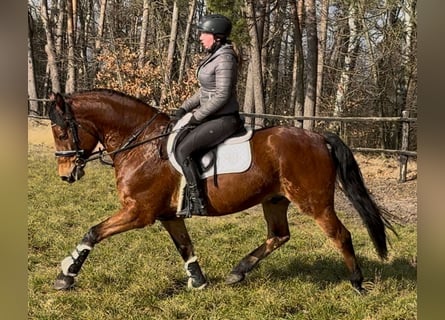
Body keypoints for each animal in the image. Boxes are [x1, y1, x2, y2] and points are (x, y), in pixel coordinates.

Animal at [47, 89, 396, 294]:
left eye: (62, 132)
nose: (65, 175)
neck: (141, 144)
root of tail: (318, 137)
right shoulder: (168, 215)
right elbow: (185, 246)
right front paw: (199, 282)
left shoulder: (138, 212)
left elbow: (93, 232)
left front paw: (66, 275)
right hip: (275, 199)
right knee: (278, 235)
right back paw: (237, 273)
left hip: (314, 202)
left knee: (340, 235)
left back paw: (357, 284)